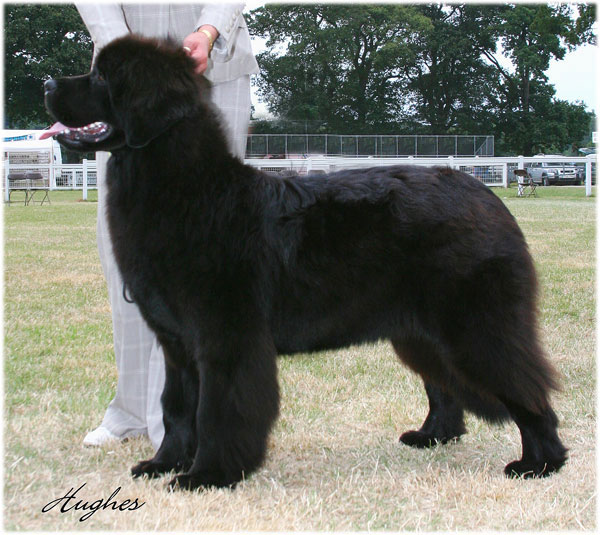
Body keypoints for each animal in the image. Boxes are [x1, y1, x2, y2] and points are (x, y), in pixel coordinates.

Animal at [44, 35, 568, 492]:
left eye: (102, 76)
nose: (48, 82)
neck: (187, 189)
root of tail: (489, 197)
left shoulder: (226, 337)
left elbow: (217, 410)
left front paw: (207, 475)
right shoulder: (176, 343)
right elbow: (176, 409)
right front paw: (163, 464)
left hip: (474, 326)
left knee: (524, 385)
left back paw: (540, 462)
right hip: (420, 332)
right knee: (444, 385)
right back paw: (433, 436)